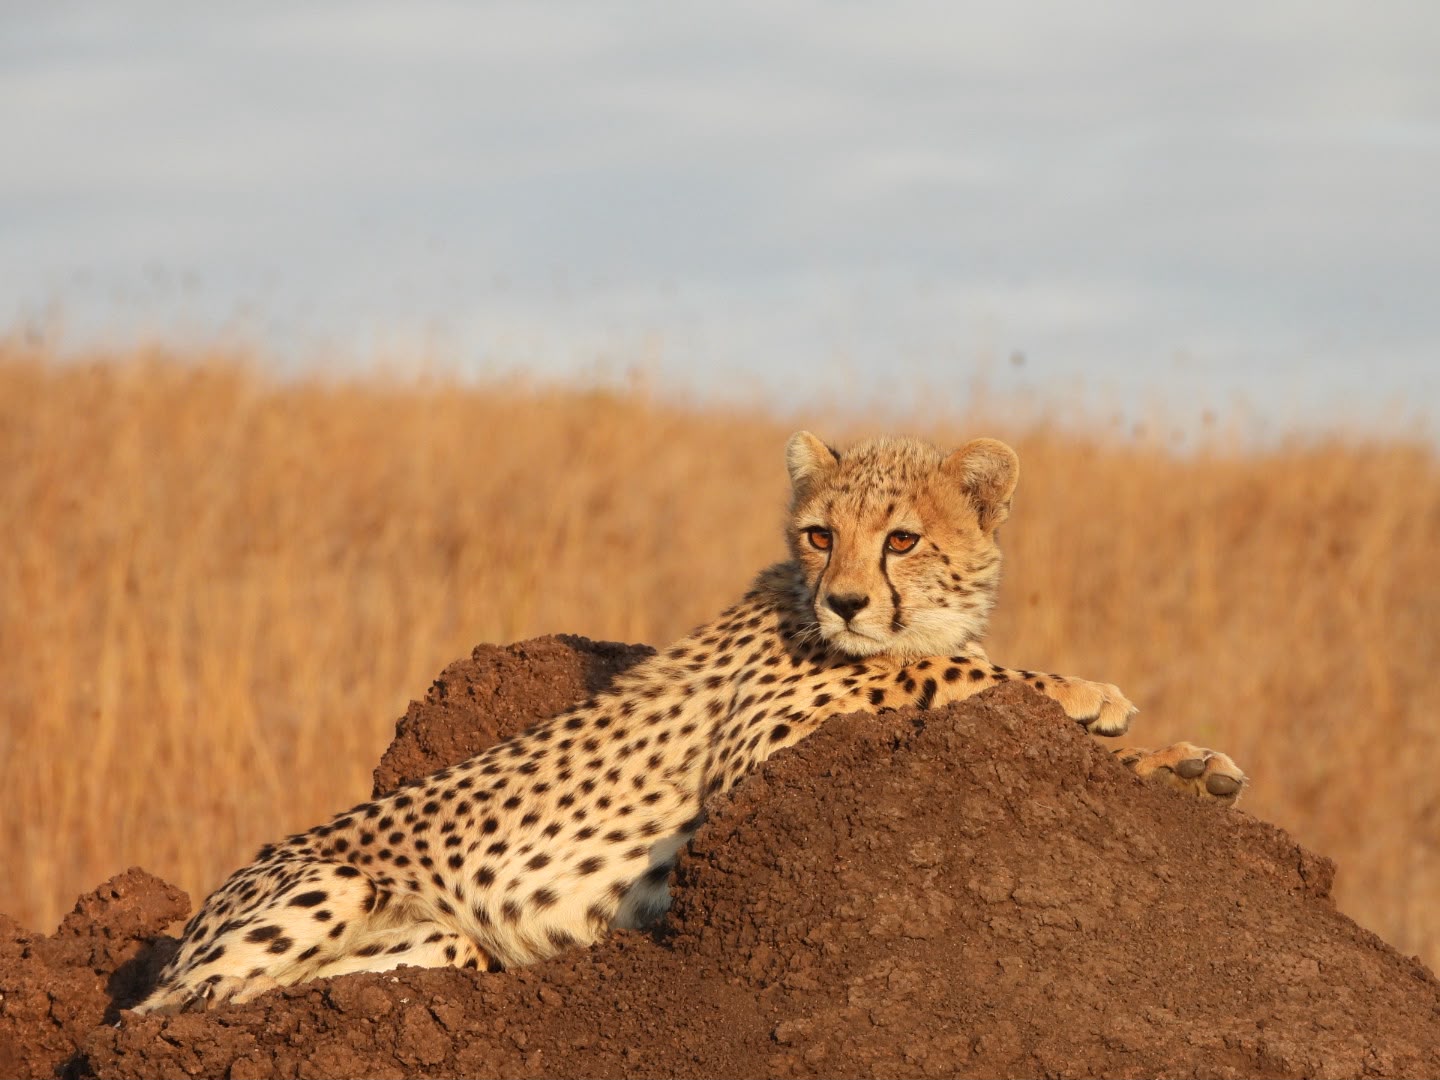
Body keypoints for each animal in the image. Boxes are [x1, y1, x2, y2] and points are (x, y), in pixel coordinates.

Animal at [134, 431, 1244, 1014]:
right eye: (819, 534)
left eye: (901, 539)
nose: (846, 602)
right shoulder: (769, 739)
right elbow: (939, 668)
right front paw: (1088, 692)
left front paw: (1185, 764)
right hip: (322, 888)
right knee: (171, 1012)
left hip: (436, 941)